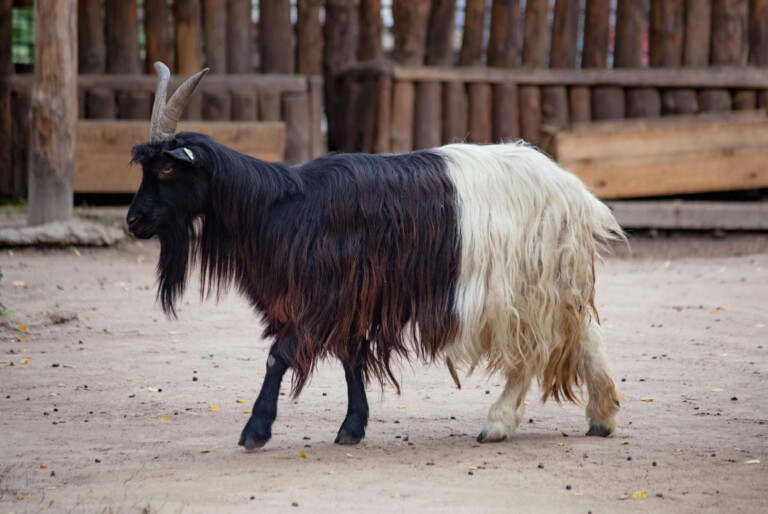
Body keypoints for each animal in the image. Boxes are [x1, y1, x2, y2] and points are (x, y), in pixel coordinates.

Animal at [127, 62, 624, 449]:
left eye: (167, 166)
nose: (133, 221)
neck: (283, 207)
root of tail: (574, 192)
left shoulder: (324, 296)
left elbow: (279, 354)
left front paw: (256, 430)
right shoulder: (354, 298)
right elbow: (351, 359)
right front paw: (352, 427)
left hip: (521, 285)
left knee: (531, 352)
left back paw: (497, 424)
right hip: (550, 282)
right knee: (587, 333)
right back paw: (601, 416)